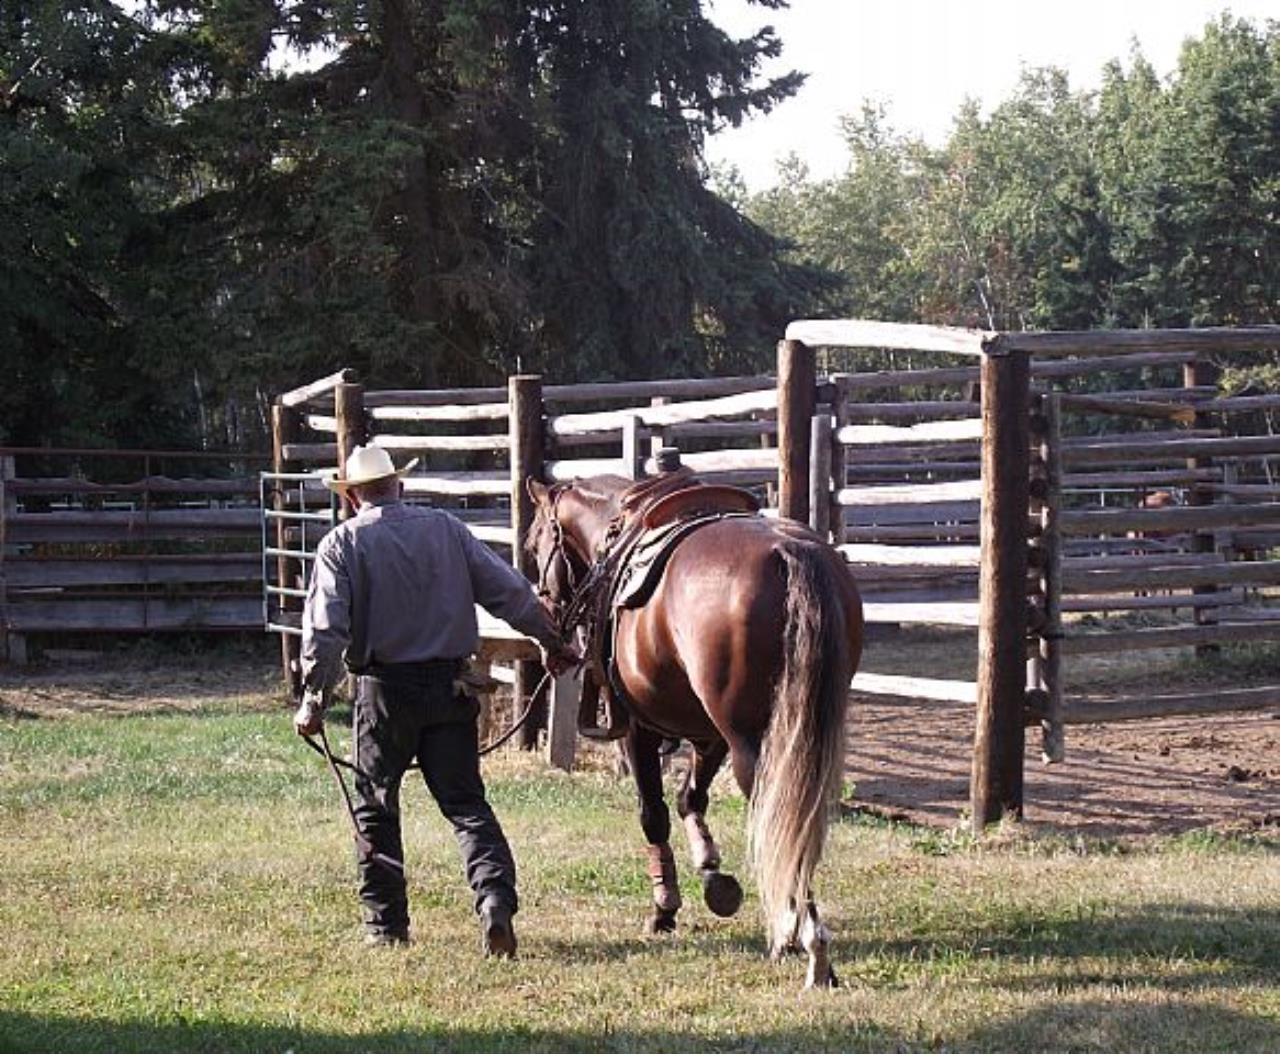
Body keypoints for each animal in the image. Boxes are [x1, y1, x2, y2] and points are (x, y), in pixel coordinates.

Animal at [524, 476, 865, 988]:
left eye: (533, 546)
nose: (549, 635)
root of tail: (789, 552)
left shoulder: (639, 729)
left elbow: (654, 814)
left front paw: (664, 908)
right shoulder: (709, 736)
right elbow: (691, 799)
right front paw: (712, 874)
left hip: (757, 747)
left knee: (782, 818)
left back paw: (809, 945)